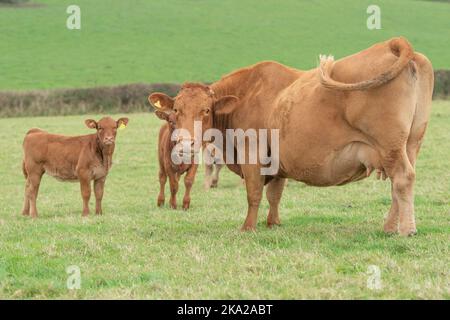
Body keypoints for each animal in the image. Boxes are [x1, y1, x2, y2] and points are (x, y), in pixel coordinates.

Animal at [149, 38, 432, 236]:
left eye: (206, 110)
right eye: (176, 110)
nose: (185, 144)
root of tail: (393, 44)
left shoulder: (252, 153)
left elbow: (254, 193)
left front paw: (248, 227)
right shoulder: (277, 161)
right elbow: (275, 194)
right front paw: (273, 223)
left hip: (390, 147)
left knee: (402, 179)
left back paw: (406, 230)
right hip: (410, 145)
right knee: (399, 184)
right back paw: (389, 226)